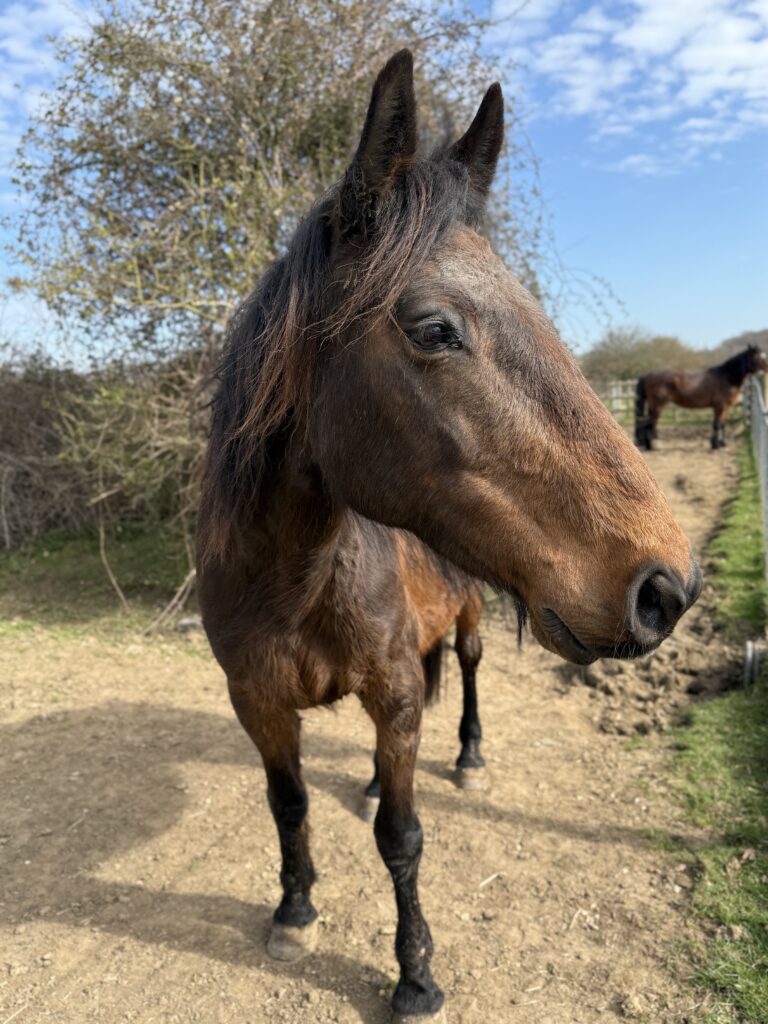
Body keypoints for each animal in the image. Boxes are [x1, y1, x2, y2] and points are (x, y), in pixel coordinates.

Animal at [197, 51, 701, 1021]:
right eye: (435, 329)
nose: (668, 586)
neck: (293, 577)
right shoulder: (258, 702)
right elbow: (289, 808)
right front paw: (294, 909)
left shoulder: (393, 693)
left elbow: (403, 837)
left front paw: (415, 974)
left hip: (463, 627)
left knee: (461, 677)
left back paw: (465, 756)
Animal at [635, 345, 768, 450]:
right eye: (759, 357)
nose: (767, 368)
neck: (727, 377)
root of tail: (647, 375)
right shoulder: (720, 406)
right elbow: (717, 424)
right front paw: (715, 445)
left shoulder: (726, 407)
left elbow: (722, 424)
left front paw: (722, 443)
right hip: (658, 405)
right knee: (650, 423)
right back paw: (654, 446)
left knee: (646, 422)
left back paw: (648, 445)